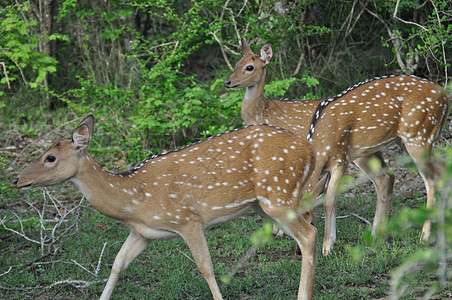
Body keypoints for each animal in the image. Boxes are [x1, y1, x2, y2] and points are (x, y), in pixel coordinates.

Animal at [15, 115, 328, 300]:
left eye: (50, 157)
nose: (17, 180)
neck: (134, 201)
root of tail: (310, 150)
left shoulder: (187, 219)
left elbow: (206, 267)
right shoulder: (143, 233)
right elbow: (117, 263)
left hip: (278, 195)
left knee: (309, 235)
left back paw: (303, 295)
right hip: (266, 203)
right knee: (309, 225)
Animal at [224, 38, 450, 255]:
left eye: (250, 67)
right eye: (236, 64)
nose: (228, 82)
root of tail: (445, 96)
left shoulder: (336, 160)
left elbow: (328, 199)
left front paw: (326, 246)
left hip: (414, 137)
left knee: (425, 180)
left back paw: (423, 235)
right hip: (404, 143)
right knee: (413, 174)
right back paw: (386, 232)